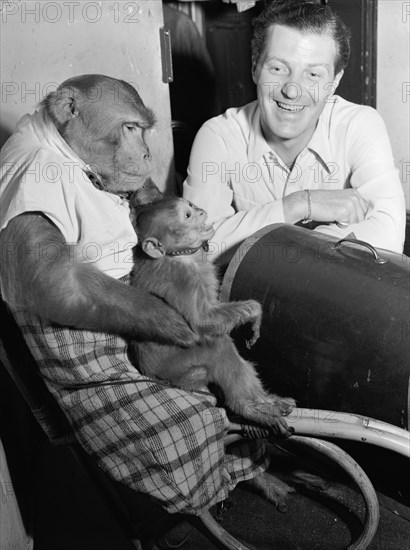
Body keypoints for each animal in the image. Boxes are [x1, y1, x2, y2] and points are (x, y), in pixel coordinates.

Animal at [129, 183, 294, 438]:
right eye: (188, 216)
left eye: (191, 206)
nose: (200, 210)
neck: (178, 256)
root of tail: (149, 373)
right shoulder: (183, 280)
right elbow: (202, 322)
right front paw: (254, 311)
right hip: (179, 371)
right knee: (218, 345)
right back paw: (247, 408)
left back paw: (266, 403)